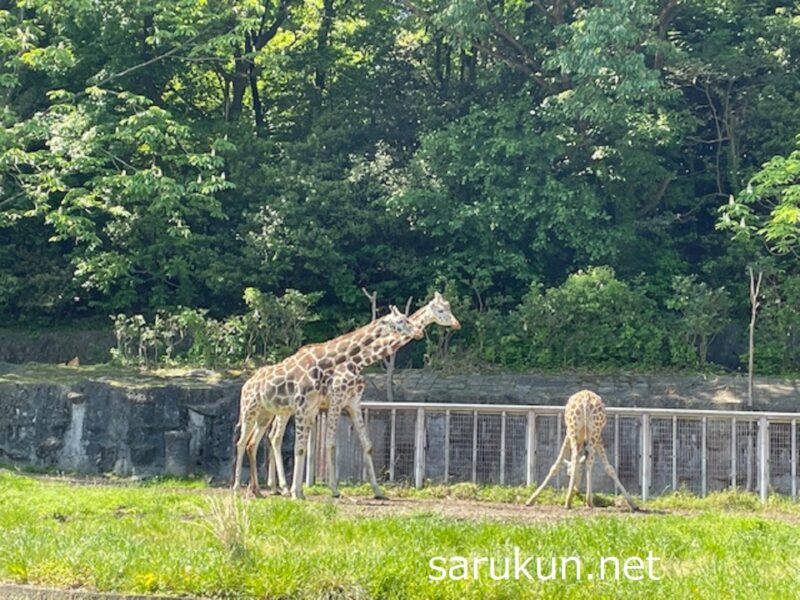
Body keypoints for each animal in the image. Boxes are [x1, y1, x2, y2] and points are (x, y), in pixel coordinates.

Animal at [231, 308, 422, 500]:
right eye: (401, 321)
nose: (419, 332)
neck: (323, 362)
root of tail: (246, 385)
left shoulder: (317, 408)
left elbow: (307, 449)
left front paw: (300, 492)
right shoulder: (308, 406)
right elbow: (303, 448)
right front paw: (299, 493)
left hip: (265, 414)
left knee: (253, 443)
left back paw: (257, 491)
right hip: (251, 410)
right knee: (243, 442)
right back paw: (239, 488)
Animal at [266, 292, 460, 500]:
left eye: (449, 307)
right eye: (441, 310)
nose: (457, 324)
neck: (359, 362)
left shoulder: (353, 402)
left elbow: (367, 444)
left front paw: (378, 491)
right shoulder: (337, 399)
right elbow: (331, 444)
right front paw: (334, 490)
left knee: (272, 434)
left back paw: (275, 487)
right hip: (287, 409)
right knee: (276, 436)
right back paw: (284, 487)